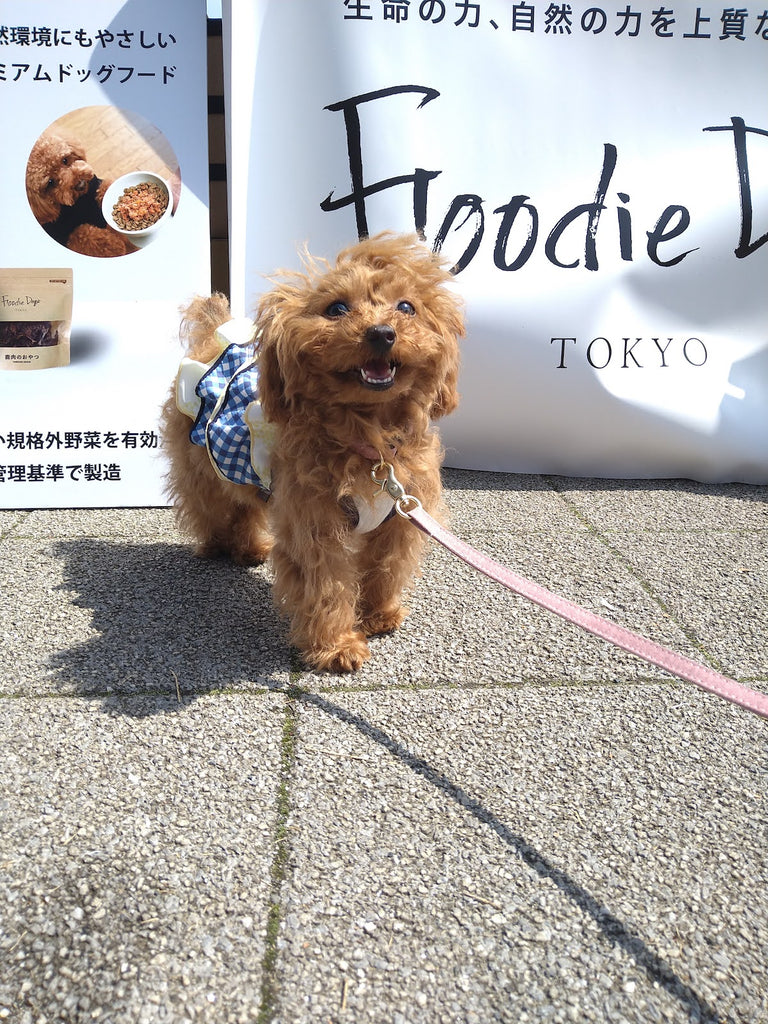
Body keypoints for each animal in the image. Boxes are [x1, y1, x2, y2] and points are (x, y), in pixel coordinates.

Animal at [161, 235, 462, 675]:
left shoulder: (398, 518)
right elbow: (326, 584)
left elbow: (385, 566)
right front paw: (336, 647)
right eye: (336, 308)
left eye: (407, 307)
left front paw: (378, 615)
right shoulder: (315, 521)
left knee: (244, 506)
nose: (382, 333)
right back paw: (217, 546)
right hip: (203, 462)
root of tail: (212, 337)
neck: (370, 443)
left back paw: (249, 548)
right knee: (212, 507)